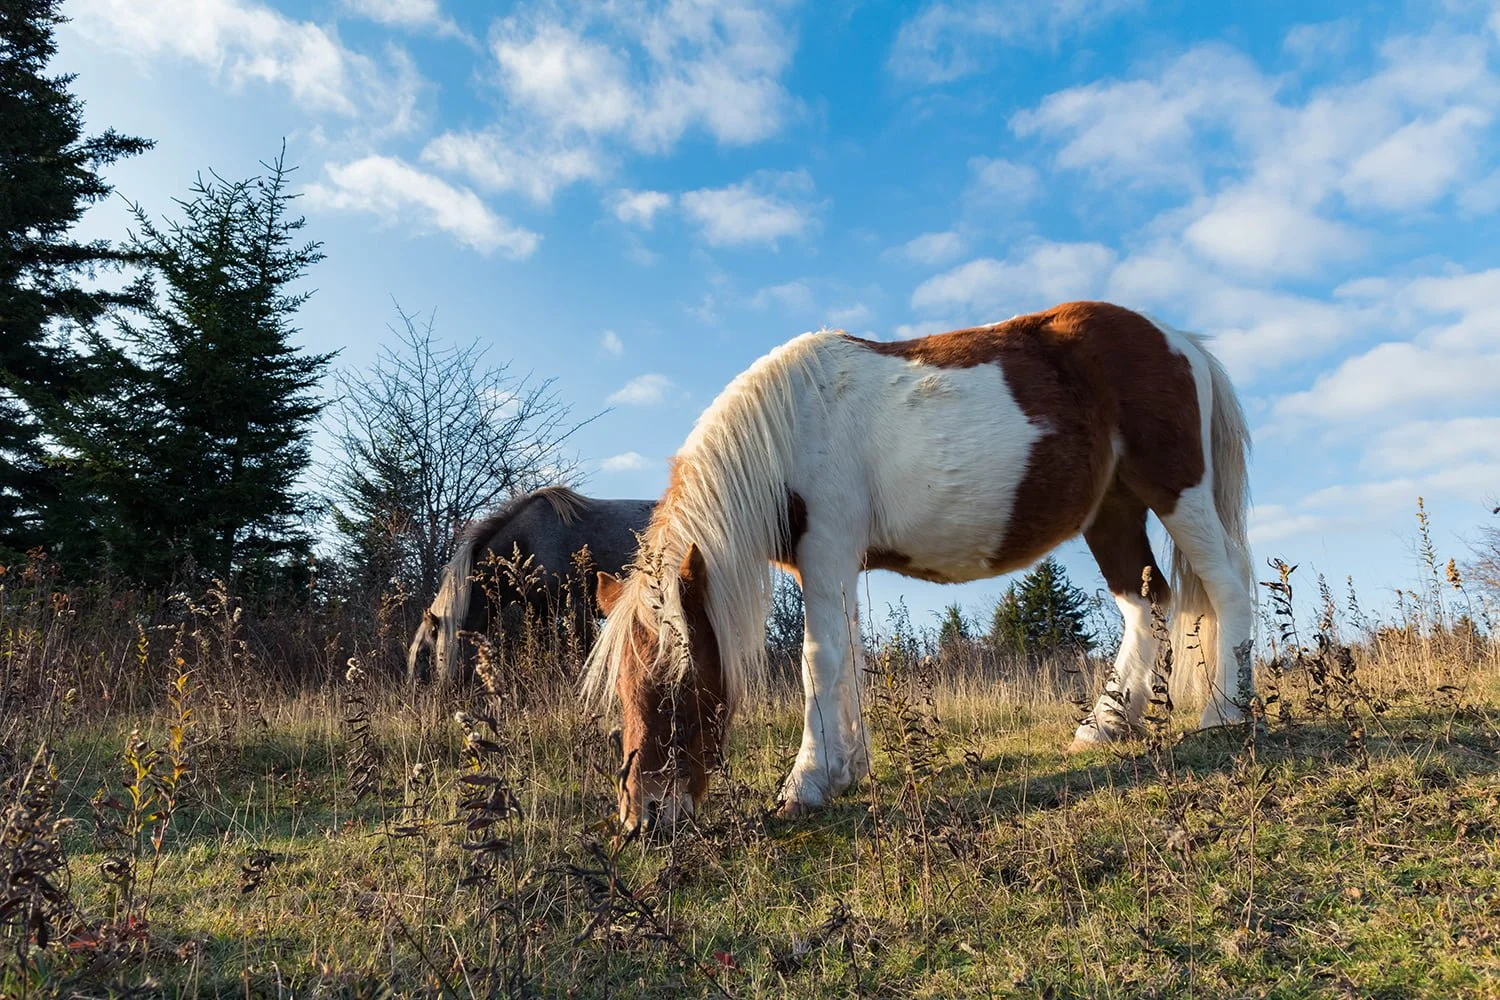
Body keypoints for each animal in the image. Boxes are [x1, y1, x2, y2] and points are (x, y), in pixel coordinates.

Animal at [583, 301, 1254, 835]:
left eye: (680, 686)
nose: (641, 820)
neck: (793, 426)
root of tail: (1179, 340)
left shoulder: (827, 551)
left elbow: (818, 661)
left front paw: (805, 784)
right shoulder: (829, 566)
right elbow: (846, 656)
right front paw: (848, 768)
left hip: (1177, 491)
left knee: (1226, 587)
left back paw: (1224, 714)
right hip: (1111, 511)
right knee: (1145, 603)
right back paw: (1107, 725)